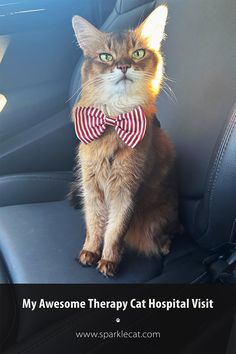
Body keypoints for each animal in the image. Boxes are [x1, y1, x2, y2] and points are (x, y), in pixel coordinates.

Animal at [69, 4, 182, 276]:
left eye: (137, 53)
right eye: (105, 57)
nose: (123, 66)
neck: (113, 119)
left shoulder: (127, 189)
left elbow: (115, 230)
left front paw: (109, 261)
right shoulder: (91, 185)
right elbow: (95, 223)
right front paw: (89, 251)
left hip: (159, 218)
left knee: (169, 232)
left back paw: (165, 245)